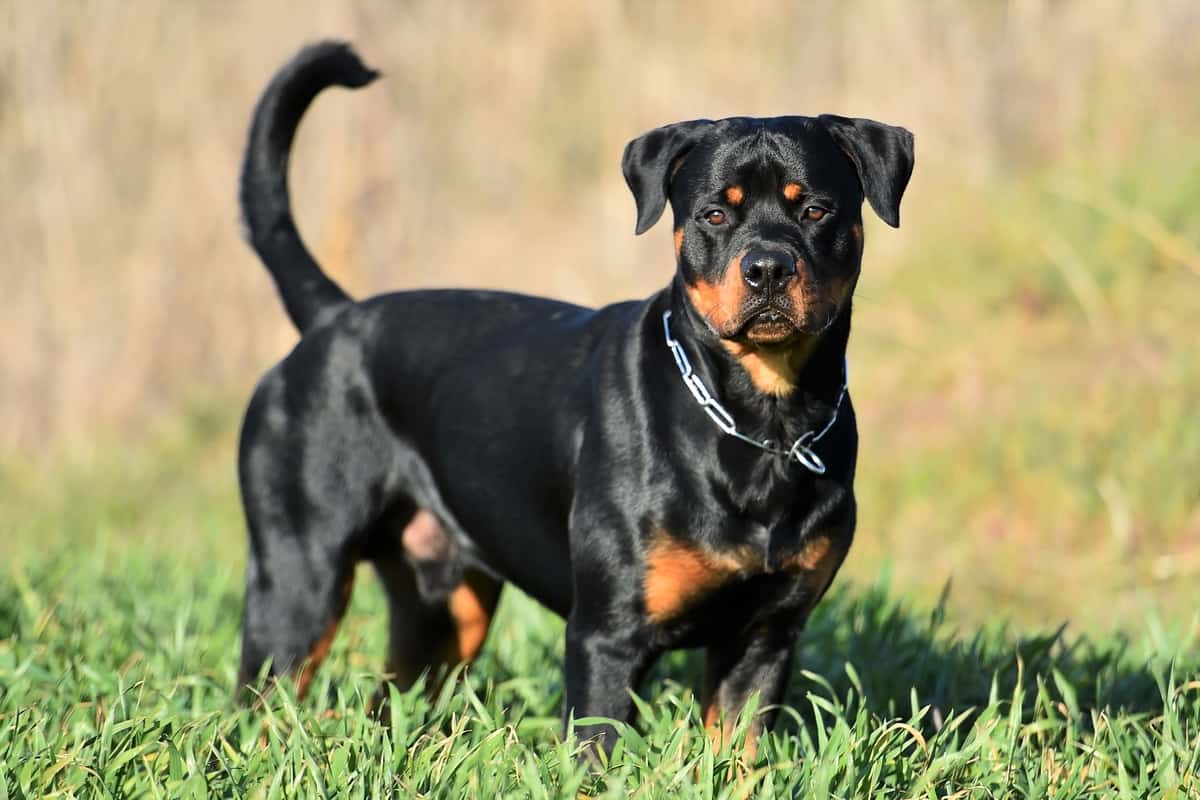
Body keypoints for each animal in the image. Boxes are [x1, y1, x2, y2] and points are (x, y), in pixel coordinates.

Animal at [231, 40, 907, 762]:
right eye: (715, 214)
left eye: (816, 210)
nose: (769, 268)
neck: (765, 423)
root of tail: (333, 317)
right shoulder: (606, 637)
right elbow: (595, 755)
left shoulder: (764, 637)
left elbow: (736, 756)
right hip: (297, 579)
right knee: (259, 705)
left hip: (443, 607)